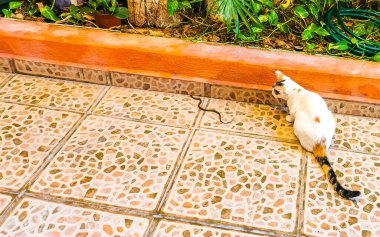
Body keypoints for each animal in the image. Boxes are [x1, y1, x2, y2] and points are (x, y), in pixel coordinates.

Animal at [272, 70, 360, 200]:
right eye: (273, 84)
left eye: (276, 91)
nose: (271, 89)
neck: (297, 91)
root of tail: (320, 143)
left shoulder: (294, 110)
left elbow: (291, 115)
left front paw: (288, 118)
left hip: (299, 122)